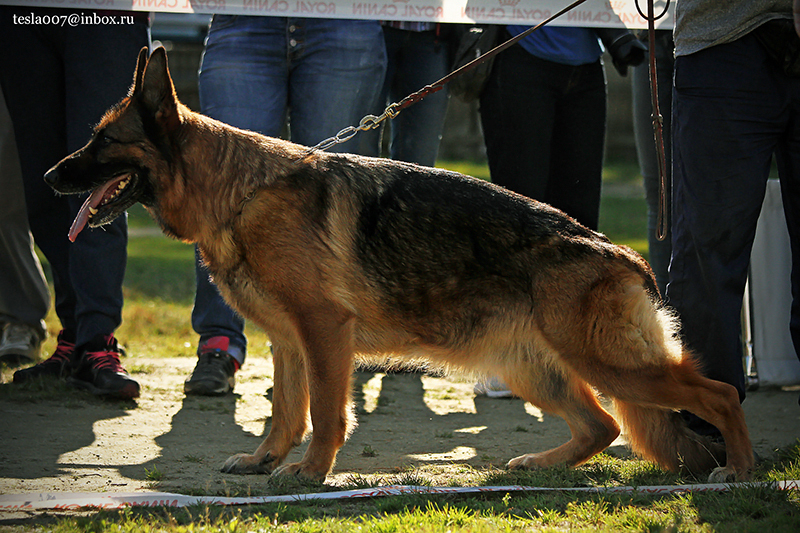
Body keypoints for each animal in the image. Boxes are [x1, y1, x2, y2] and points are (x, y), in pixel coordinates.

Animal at [45, 46, 756, 482]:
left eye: (103, 141)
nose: (50, 177)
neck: (242, 190)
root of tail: (621, 254)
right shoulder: (289, 341)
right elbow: (286, 411)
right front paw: (265, 461)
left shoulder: (324, 333)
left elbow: (325, 414)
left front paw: (310, 473)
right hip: (534, 369)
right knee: (605, 424)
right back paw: (544, 464)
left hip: (606, 363)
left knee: (717, 393)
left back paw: (742, 472)